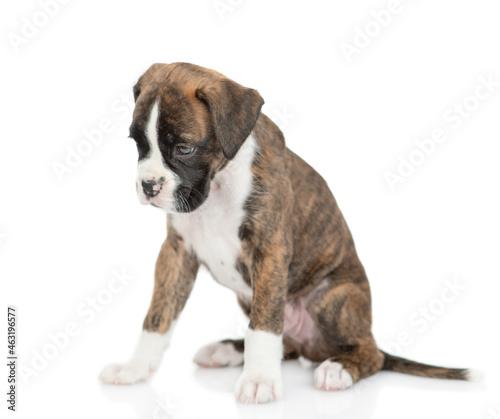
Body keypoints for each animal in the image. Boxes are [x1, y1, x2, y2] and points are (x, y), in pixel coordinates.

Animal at [99, 61, 470, 404]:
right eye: (138, 143)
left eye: (184, 148)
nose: (148, 185)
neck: (219, 183)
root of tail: (313, 349)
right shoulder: (176, 253)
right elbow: (157, 317)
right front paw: (135, 368)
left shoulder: (269, 251)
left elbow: (263, 327)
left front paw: (258, 381)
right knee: (286, 345)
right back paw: (228, 350)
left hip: (331, 296)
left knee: (369, 352)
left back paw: (339, 368)